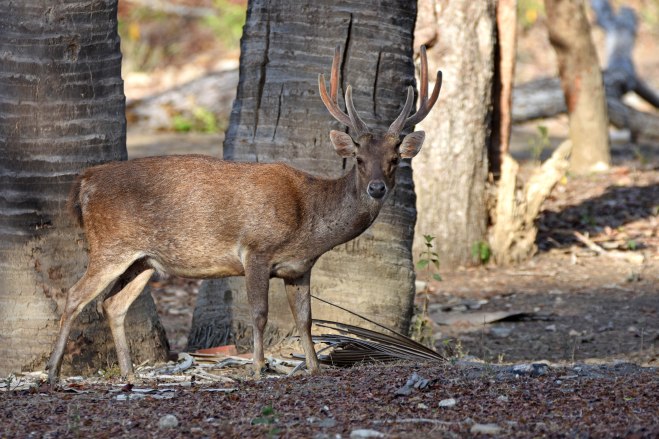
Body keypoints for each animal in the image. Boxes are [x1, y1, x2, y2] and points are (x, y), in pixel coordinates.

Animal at [46, 46, 441, 385]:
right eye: (359, 159)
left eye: (395, 160)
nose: (377, 188)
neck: (309, 221)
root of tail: (84, 182)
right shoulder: (257, 249)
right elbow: (258, 313)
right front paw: (257, 368)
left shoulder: (300, 267)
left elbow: (306, 319)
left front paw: (314, 368)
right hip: (109, 245)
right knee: (74, 296)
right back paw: (52, 373)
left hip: (143, 260)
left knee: (112, 304)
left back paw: (129, 374)